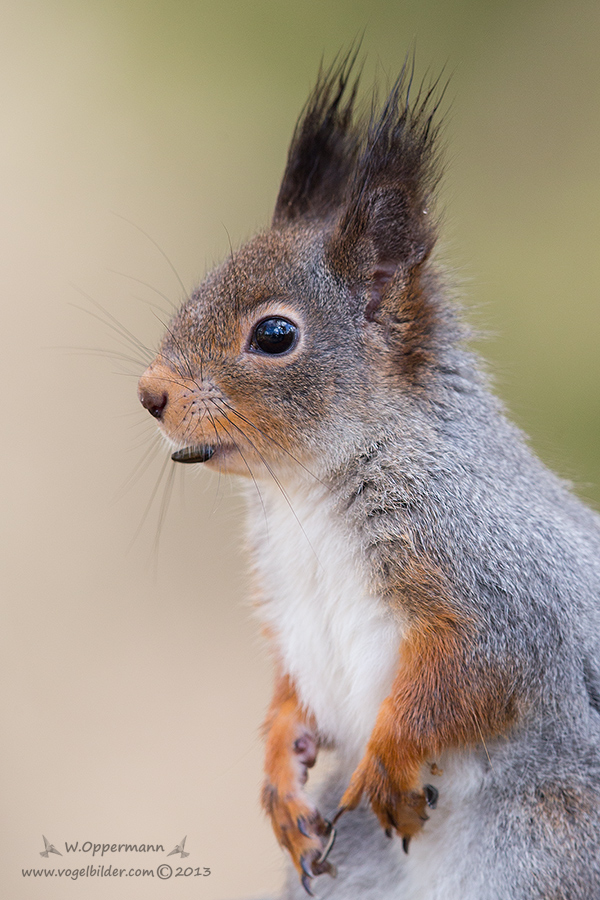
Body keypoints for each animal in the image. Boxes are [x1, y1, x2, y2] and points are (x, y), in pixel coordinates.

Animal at [136, 54, 600, 900]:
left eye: (275, 335)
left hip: (547, 846)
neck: (306, 491)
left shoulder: (500, 577)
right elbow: (291, 694)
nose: (150, 394)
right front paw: (279, 772)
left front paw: (388, 758)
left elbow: (478, 668)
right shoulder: (287, 604)